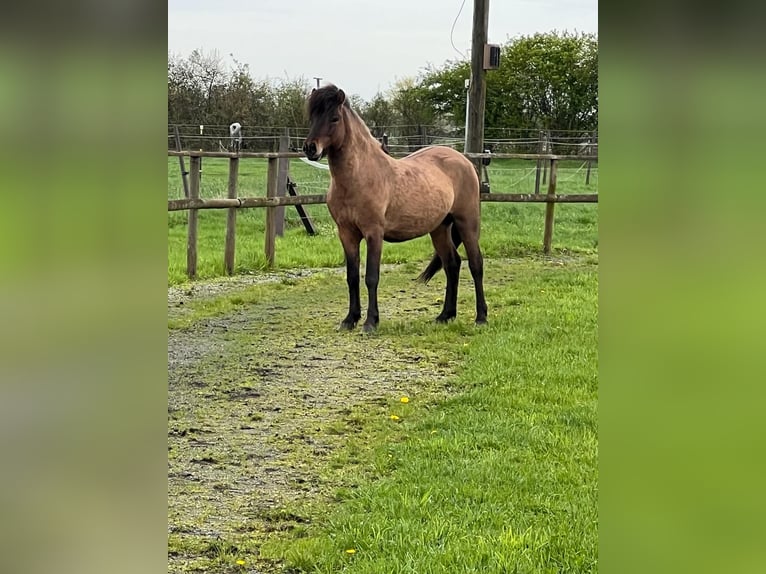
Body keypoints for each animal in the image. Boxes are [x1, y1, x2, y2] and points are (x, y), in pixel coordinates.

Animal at [304, 83, 488, 330]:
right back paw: (445, 315)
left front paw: (371, 322)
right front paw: (350, 319)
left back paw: (481, 317)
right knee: (452, 264)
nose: (310, 148)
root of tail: (465, 161)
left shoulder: (374, 233)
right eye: (312, 117)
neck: (359, 176)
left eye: (334, 118)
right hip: (439, 228)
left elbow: (371, 277)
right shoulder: (346, 234)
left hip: (466, 222)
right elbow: (352, 277)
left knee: (476, 264)